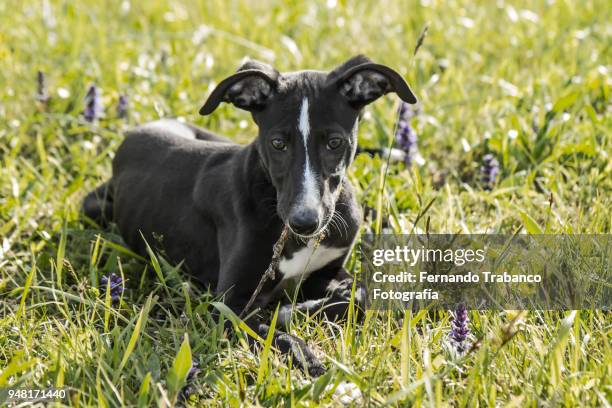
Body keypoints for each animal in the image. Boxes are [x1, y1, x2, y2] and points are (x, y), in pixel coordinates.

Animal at [83, 54, 416, 376]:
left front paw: (301, 310)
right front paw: (307, 356)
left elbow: (364, 294)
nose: (304, 222)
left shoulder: (328, 269)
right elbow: (279, 335)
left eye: (334, 143)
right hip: (94, 206)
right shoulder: (230, 304)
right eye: (278, 143)